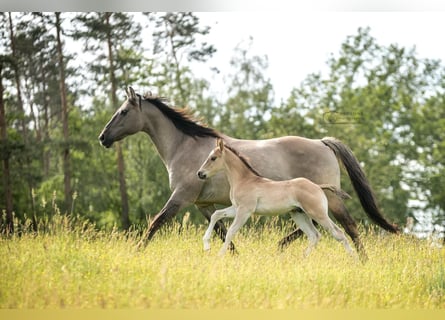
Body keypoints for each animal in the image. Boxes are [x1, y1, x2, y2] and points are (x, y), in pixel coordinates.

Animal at [196, 139, 352, 256]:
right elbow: (216, 214)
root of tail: (318, 186)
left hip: (318, 214)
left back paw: (354, 260)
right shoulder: (236, 208)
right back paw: (303, 258)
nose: (200, 173)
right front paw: (206, 245)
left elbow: (230, 232)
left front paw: (219, 255)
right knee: (314, 236)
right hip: (299, 215)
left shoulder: (245, 210)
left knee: (338, 233)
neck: (244, 180)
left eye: (213, 158)